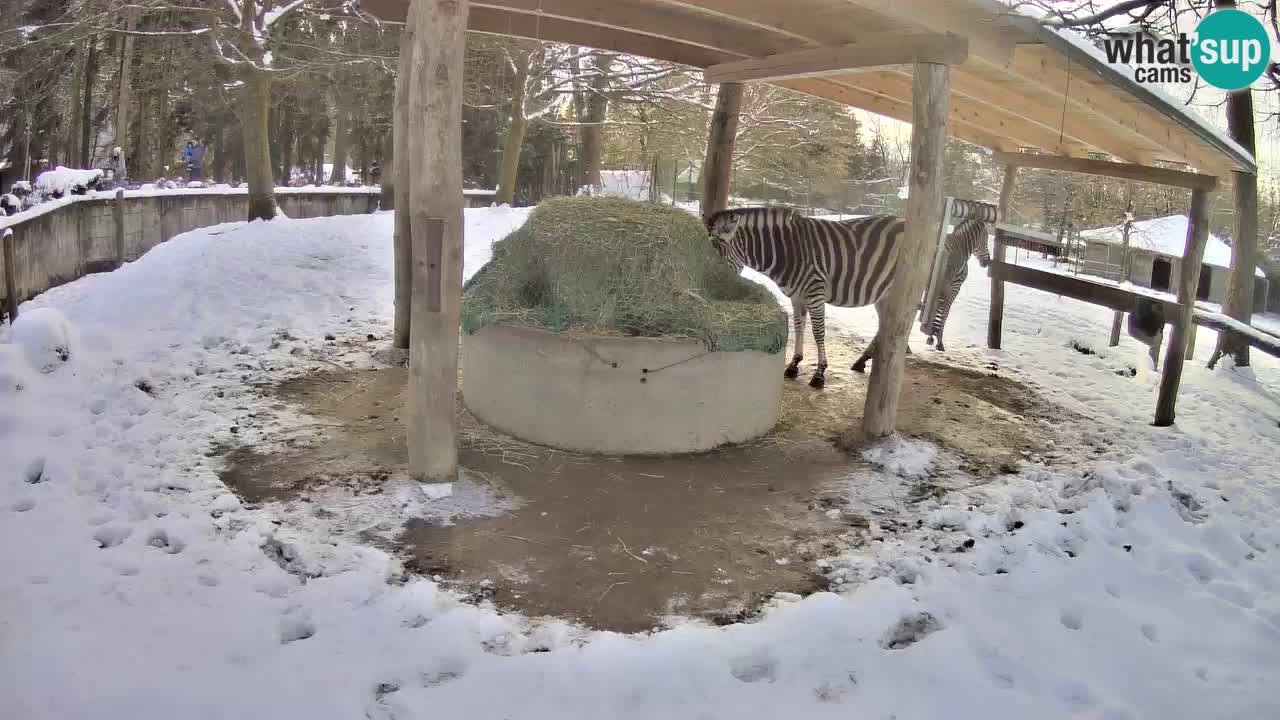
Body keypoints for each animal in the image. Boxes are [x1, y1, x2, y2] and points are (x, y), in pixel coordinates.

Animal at [705, 207, 907, 389]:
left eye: (715, 257)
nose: (714, 292)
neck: (788, 252)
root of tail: (903, 220)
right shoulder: (797, 296)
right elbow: (798, 326)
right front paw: (794, 364)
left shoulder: (815, 292)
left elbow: (818, 332)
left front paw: (820, 373)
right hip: (884, 295)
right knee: (884, 328)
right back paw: (862, 360)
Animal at [924, 216, 992, 352]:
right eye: (985, 240)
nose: (988, 262)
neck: (962, 247)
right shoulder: (953, 289)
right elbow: (944, 313)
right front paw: (938, 340)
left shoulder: (942, 289)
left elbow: (937, 310)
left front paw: (931, 336)